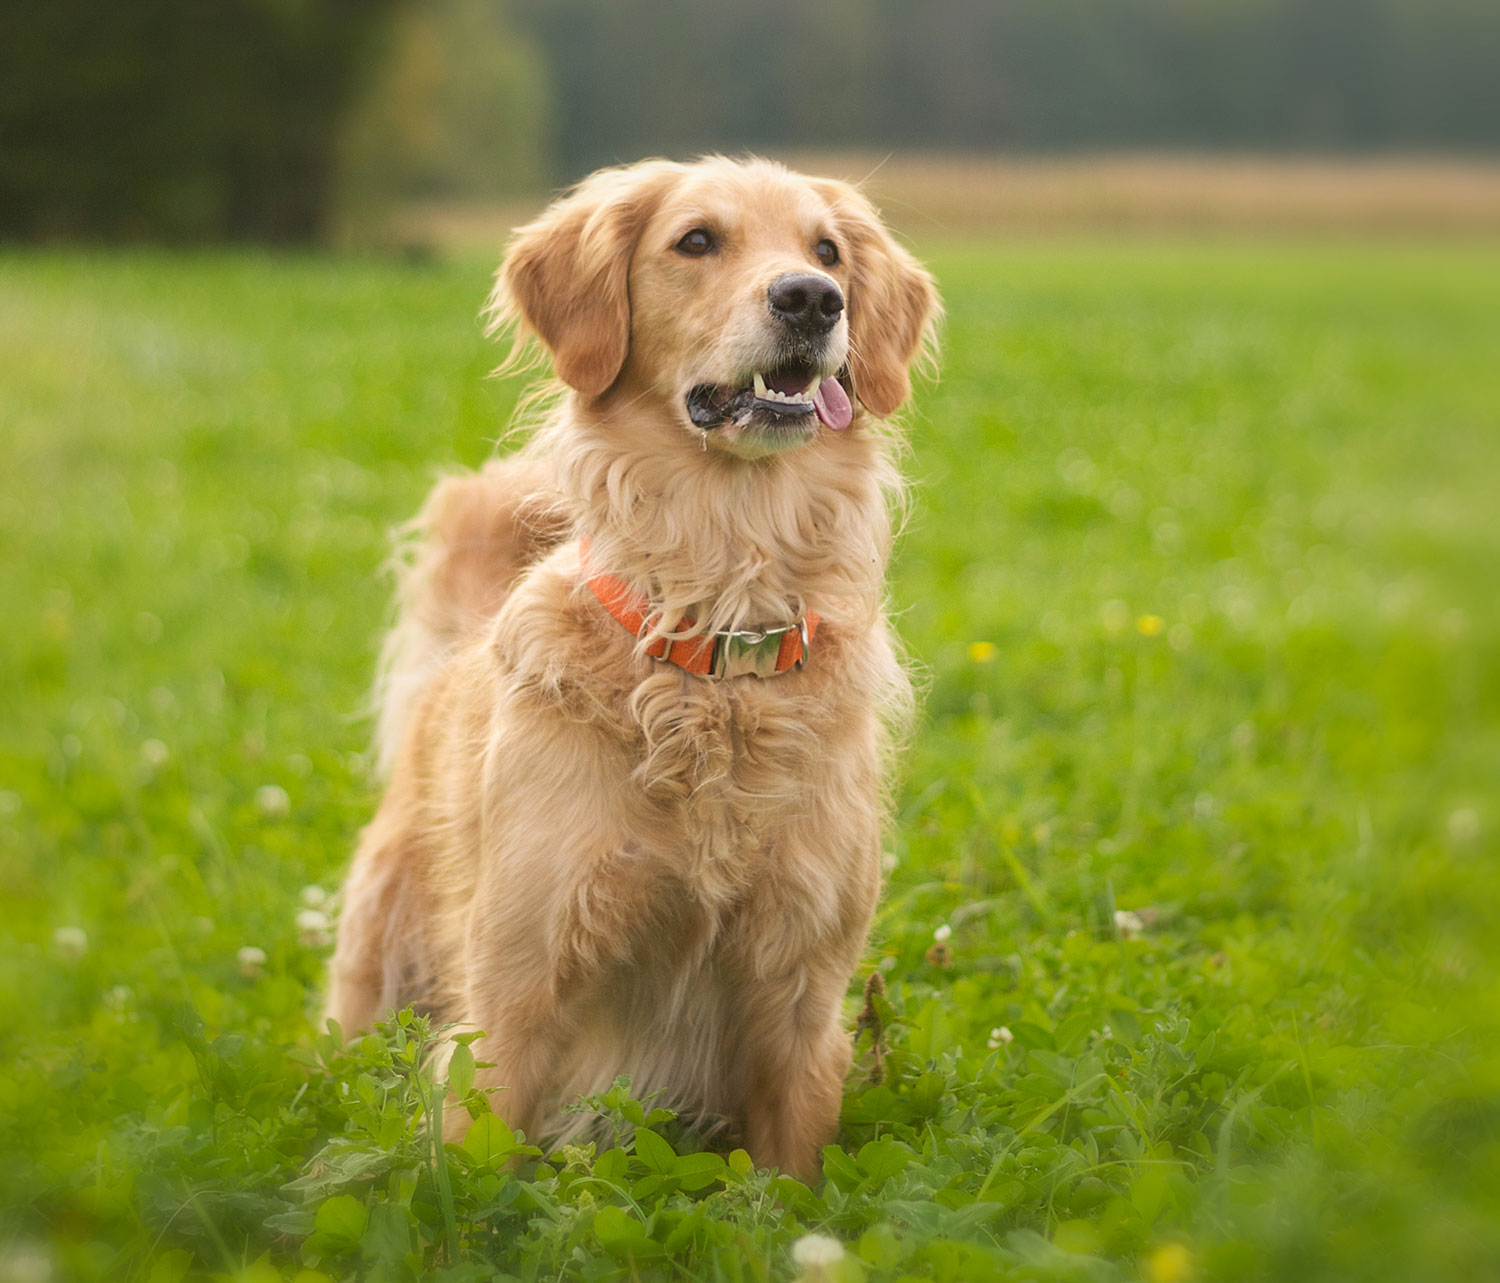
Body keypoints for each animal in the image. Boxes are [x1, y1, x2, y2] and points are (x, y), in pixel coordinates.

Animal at [327, 155, 936, 1176]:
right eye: (696, 240)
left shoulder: (803, 1001)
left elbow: (791, 1178)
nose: (813, 300)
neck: (714, 641)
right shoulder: (513, 994)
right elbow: (469, 1176)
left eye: (828, 250)